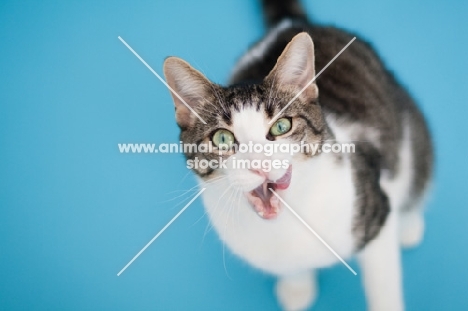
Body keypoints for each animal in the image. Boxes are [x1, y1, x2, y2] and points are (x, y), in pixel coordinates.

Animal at [163, 0, 434, 311]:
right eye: (222, 138)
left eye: (281, 126)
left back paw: (409, 223)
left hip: (411, 128)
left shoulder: (373, 204)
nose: (260, 164)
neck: (290, 221)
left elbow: (384, 287)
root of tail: (291, 23)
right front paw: (297, 286)